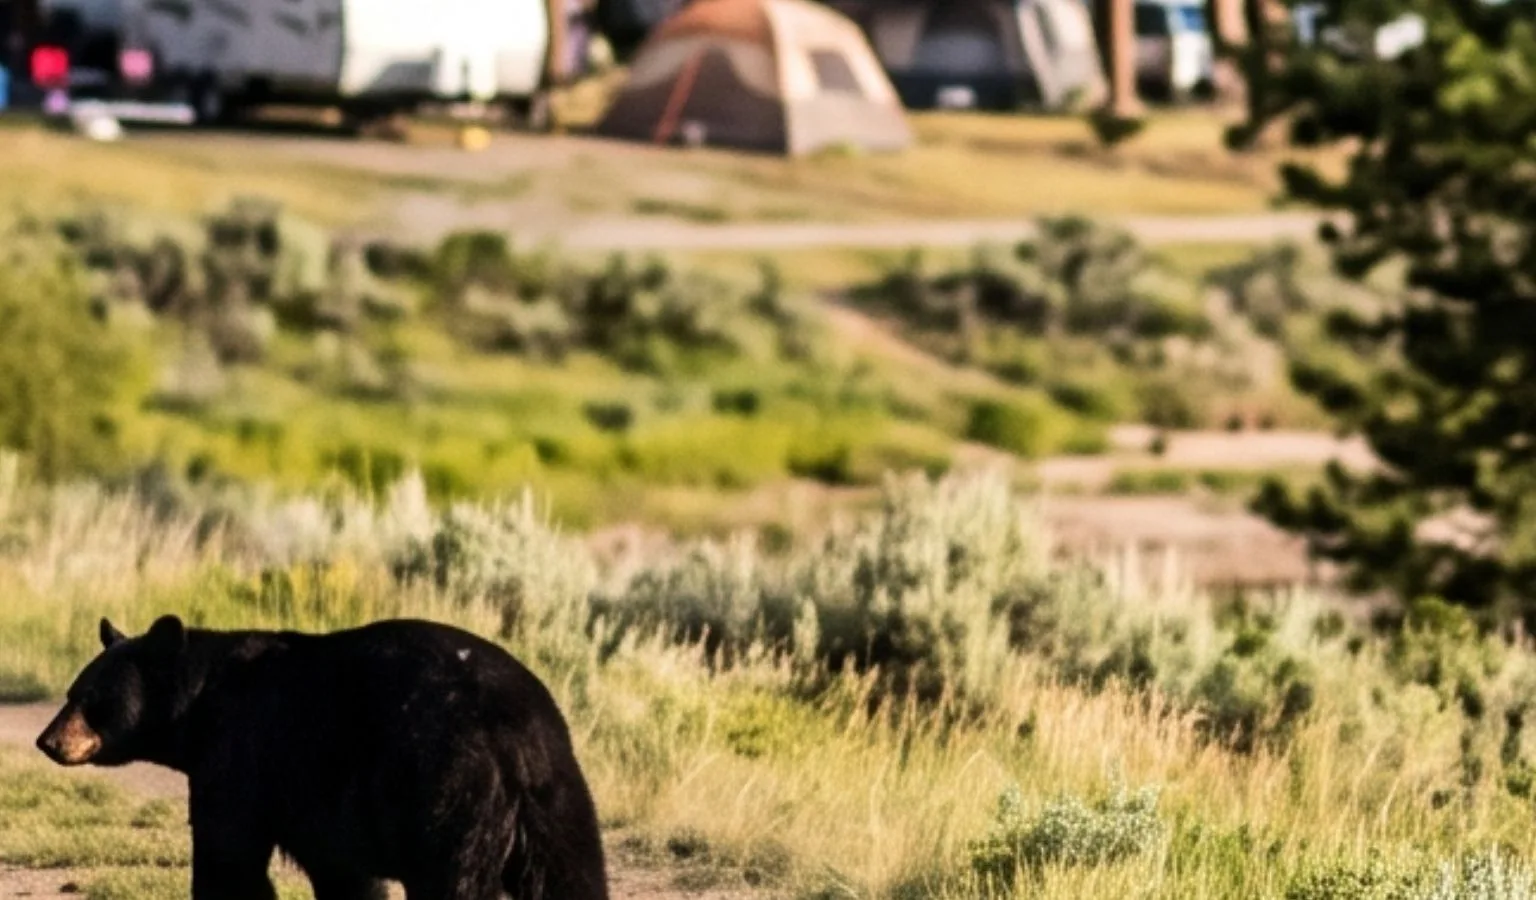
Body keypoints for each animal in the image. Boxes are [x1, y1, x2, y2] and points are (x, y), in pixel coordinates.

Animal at [35, 615, 609, 900]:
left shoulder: (245, 751)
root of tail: (516, 737)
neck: (201, 703)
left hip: (449, 788)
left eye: (91, 698)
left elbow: (229, 854)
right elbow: (344, 874)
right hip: (559, 800)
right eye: (71, 691)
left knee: (453, 880)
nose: (46, 741)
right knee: (571, 879)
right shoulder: (326, 805)